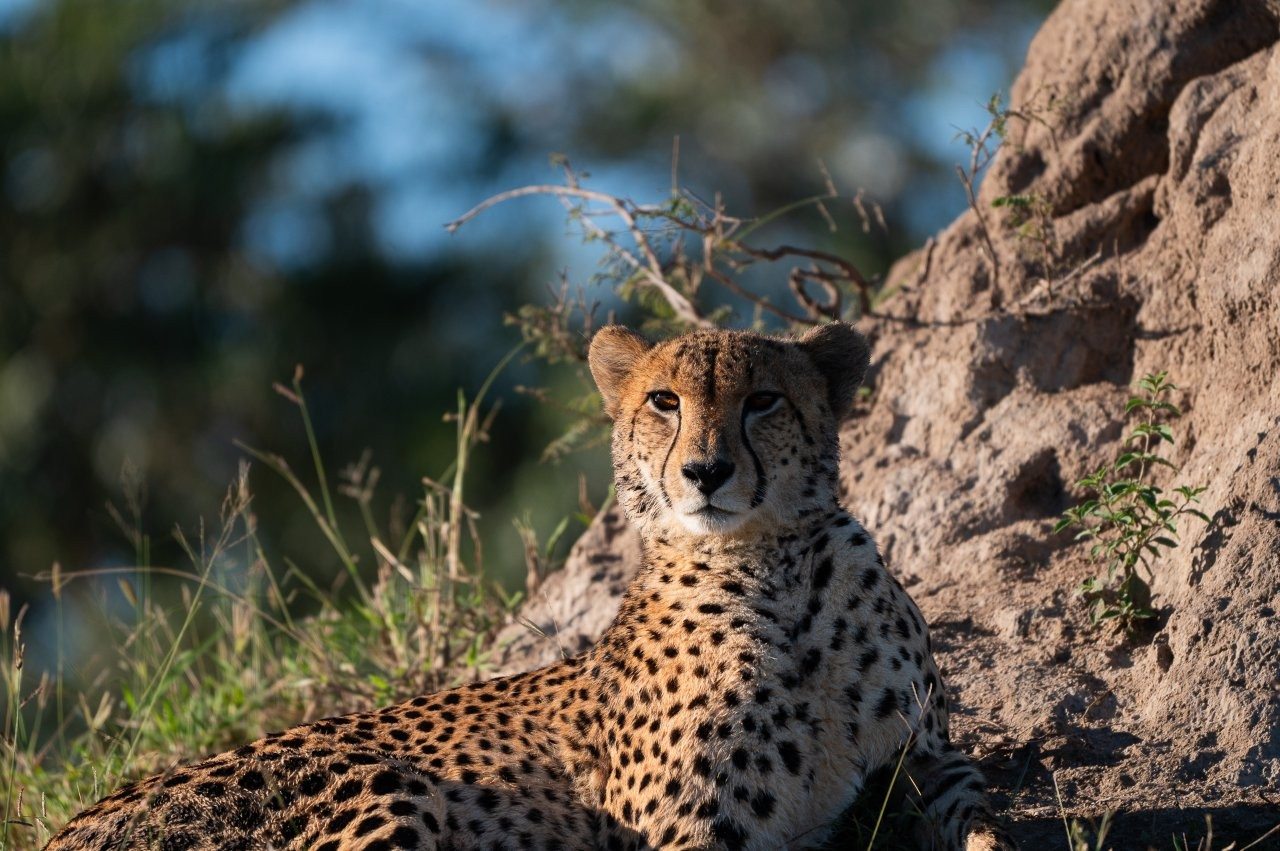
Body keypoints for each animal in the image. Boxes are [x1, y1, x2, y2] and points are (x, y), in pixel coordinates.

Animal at [45, 322, 1013, 851]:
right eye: (664, 401)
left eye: (764, 400)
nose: (704, 472)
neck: (774, 570)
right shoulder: (683, 833)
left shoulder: (923, 758)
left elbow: (980, 811)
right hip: (382, 786)